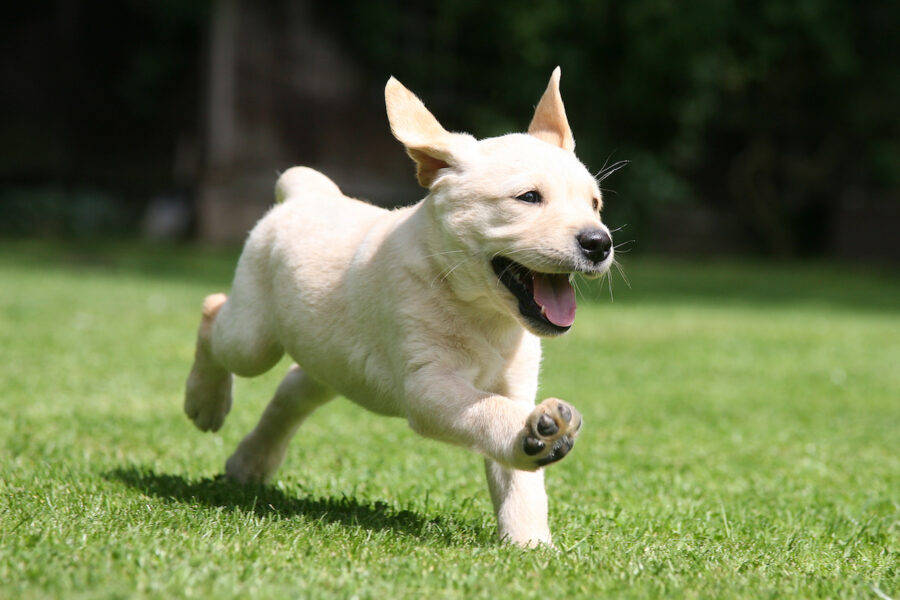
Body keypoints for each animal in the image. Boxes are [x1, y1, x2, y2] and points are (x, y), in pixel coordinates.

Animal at [185, 68, 616, 548]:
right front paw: (536, 433)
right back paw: (205, 403)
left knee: (293, 390)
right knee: (214, 313)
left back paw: (251, 461)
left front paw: (530, 544)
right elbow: (488, 411)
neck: (481, 313)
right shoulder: (427, 387)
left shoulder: (516, 384)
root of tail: (306, 193)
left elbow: (520, 482)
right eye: (528, 198)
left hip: (331, 361)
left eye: (595, 204)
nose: (600, 243)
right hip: (252, 337)